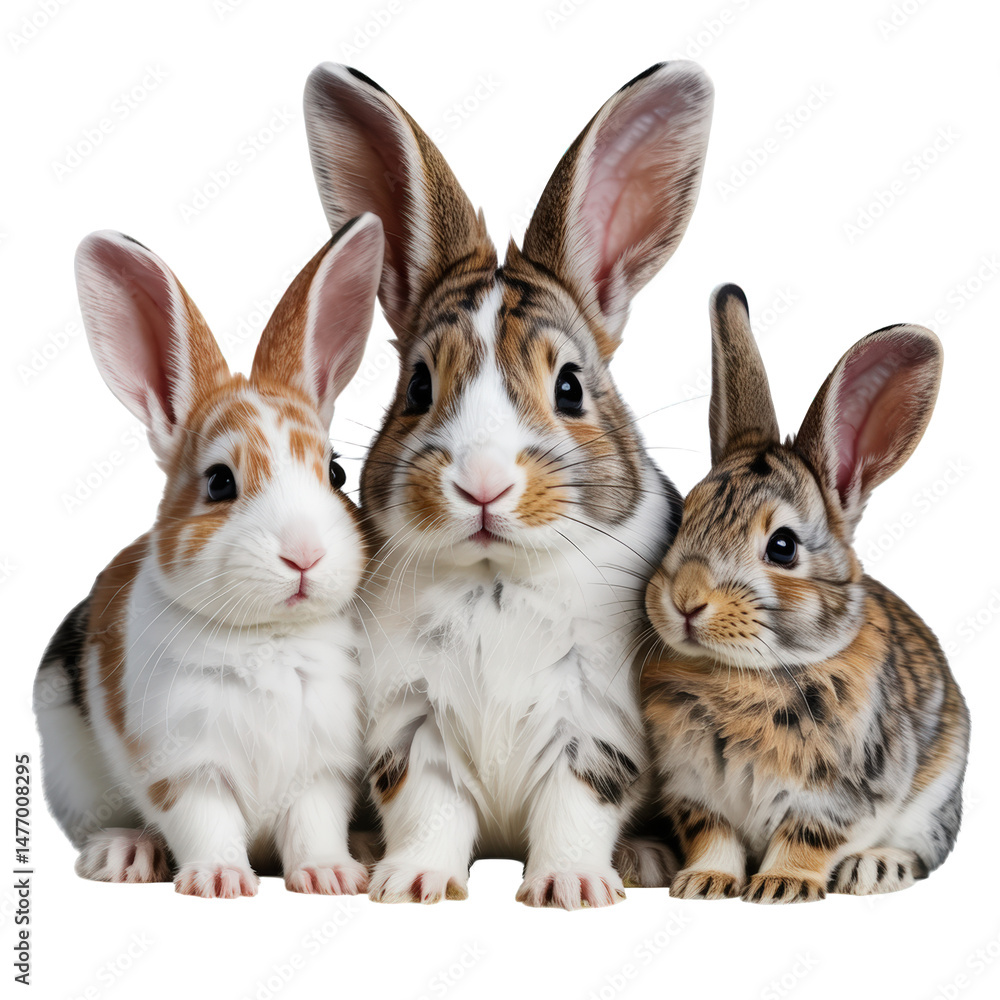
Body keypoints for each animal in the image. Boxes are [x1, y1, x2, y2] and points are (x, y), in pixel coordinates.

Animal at [32, 214, 385, 897]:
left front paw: (330, 876)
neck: (270, 637)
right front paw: (220, 881)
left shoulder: (325, 769)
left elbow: (314, 822)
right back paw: (125, 854)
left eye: (335, 473)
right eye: (220, 482)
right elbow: (205, 820)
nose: (304, 555)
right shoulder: (183, 766)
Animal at [303, 62, 713, 907]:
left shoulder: (595, 725)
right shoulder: (412, 722)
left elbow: (574, 808)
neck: (493, 575)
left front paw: (571, 888)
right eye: (418, 386)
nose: (483, 483)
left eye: (570, 387)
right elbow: (429, 809)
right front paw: (412, 884)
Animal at [640, 283, 970, 904]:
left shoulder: (840, 796)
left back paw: (873, 870)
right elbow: (712, 836)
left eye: (783, 546)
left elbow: (806, 838)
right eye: (682, 519)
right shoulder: (695, 793)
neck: (744, 676)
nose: (687, 600)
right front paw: (704, 882)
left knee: (923, 851)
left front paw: (780, 887)